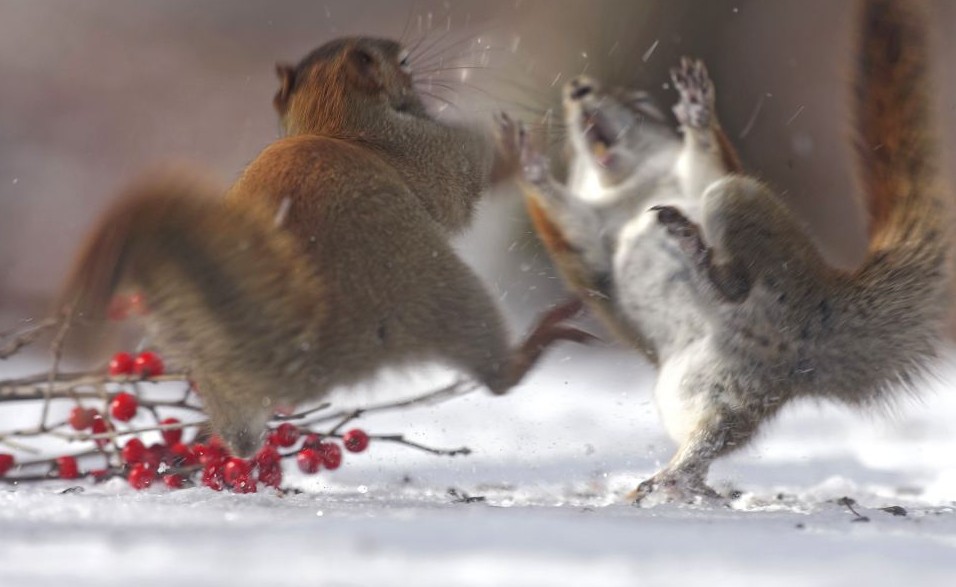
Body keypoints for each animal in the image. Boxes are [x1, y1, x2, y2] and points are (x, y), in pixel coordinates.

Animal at [59, 36, 588, 460]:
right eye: (403, 60)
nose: (419, 65)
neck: (333, 120)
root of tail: (296, 350)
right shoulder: (439, 152)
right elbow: (473, 177)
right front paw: (529, 138)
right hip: (440, 293)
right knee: (498, 374)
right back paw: (543, 335)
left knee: (241, 440)